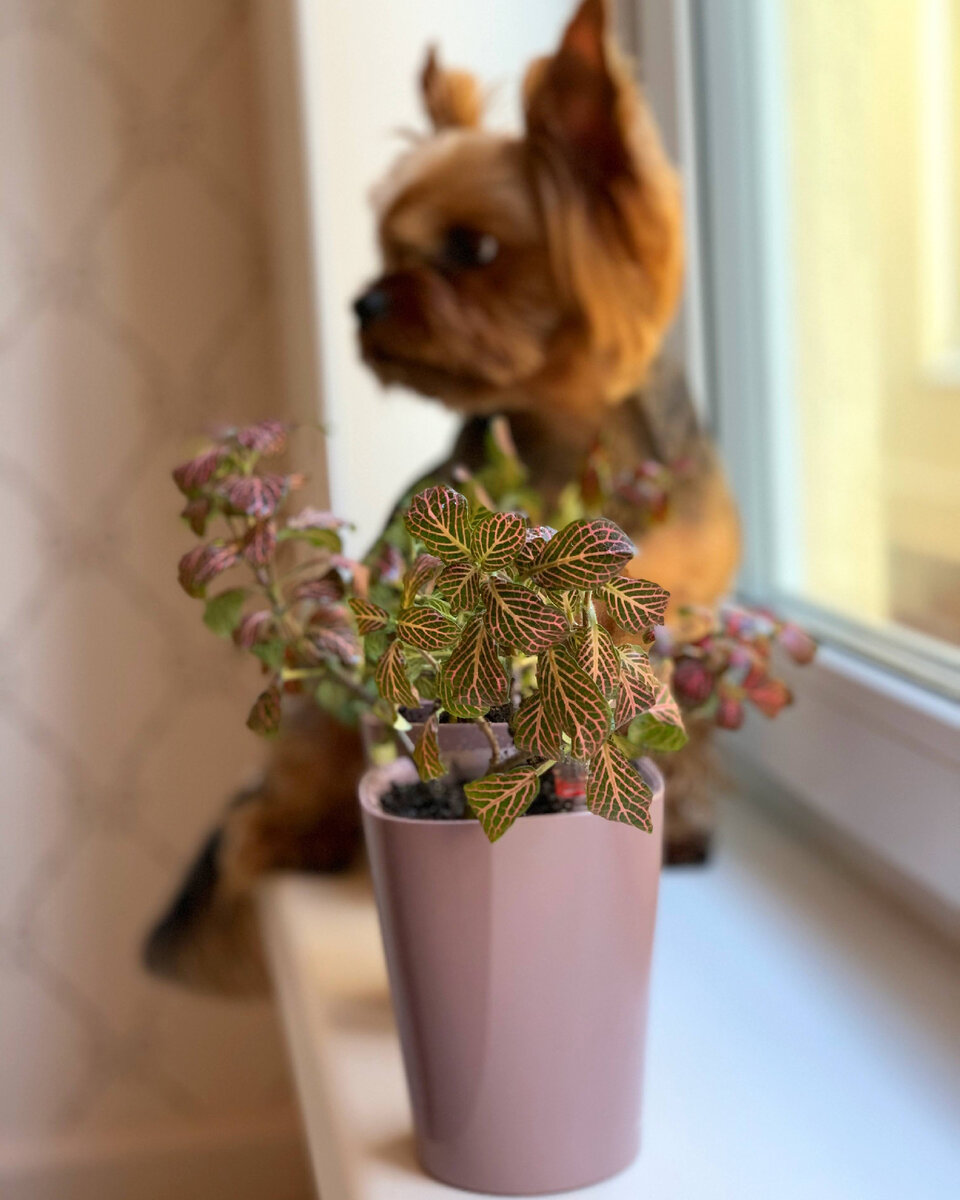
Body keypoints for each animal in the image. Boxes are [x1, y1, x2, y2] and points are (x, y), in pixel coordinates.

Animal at [145, 0, 739, 994]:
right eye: (388, 247)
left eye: (473, 249)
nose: (365, 303)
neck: (573, 445)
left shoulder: (677, 616)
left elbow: (677, 731)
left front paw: (686, 826)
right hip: (325, 697)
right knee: (273, 799)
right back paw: (295, 835)